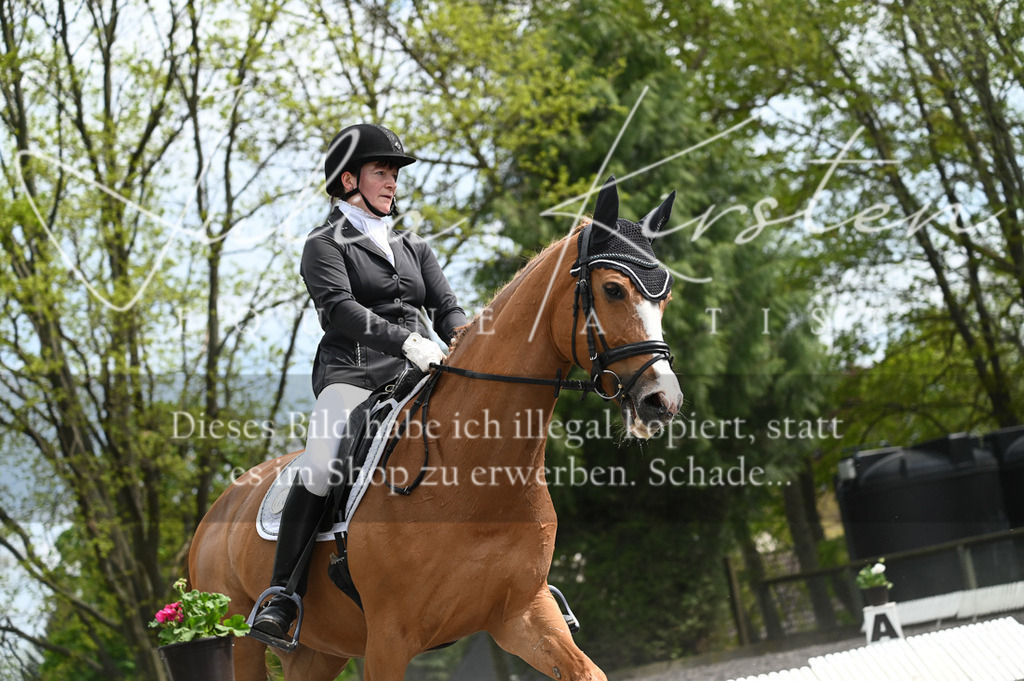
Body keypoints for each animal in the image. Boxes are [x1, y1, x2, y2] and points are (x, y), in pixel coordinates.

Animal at [189, 178, 683, 681]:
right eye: (613, 290)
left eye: (663, 298)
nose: (663, 401)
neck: (475, 476)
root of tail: (217, 508)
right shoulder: (389, 640)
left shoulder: (522, 613)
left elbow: (588, 671)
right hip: (242, 641)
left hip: (319, 651)